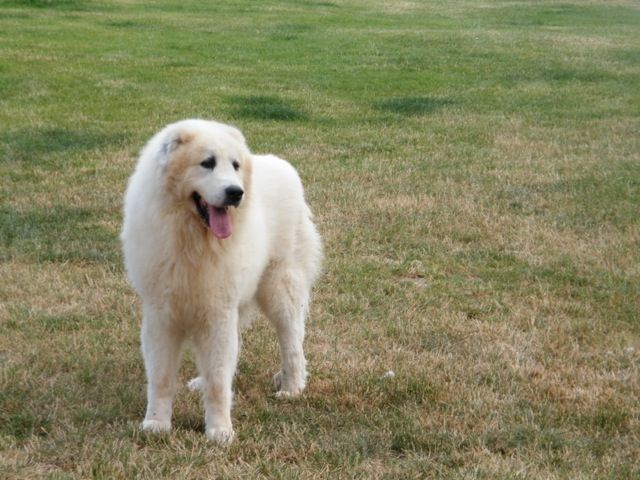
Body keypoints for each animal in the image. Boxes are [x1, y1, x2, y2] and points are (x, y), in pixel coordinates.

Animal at [120, 119, 322, 442]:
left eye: (235, 165)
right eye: (207, 163)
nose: (235, 192)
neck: (192, 240)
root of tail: (284, 165)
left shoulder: (218, 312)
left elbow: (218, 378)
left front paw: (219, 431)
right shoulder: (162, 315)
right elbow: (161, 377)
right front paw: (156, 424)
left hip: (279, 289)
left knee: (292, 342)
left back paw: (291, 388)